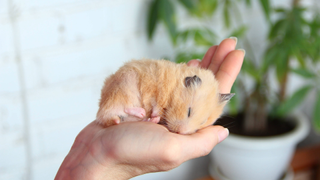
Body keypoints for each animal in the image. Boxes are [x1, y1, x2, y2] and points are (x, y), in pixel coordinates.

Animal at [96, 59, 234, 134]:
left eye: (203, 122)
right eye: (189, 111)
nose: (180, 132)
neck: (173, 89)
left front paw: (155, 116)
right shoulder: (155, 91)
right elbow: (156, 104)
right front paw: (155, 113)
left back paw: (150, 119)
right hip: (125, 87)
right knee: (123, 108)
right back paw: (143, 113)